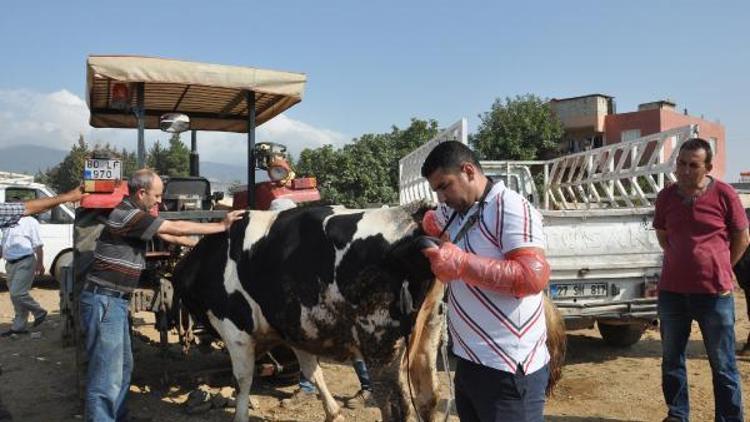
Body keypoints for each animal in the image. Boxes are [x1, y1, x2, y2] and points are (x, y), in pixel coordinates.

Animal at [175, 203, 446, 420]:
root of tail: (412, 216)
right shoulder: (296, 329)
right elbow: (313, 372)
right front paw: (333, 413)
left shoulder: (235, 330)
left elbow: (242, 380)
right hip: (429, 331)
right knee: (429, 396)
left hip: (381, 345)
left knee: (397, 407)